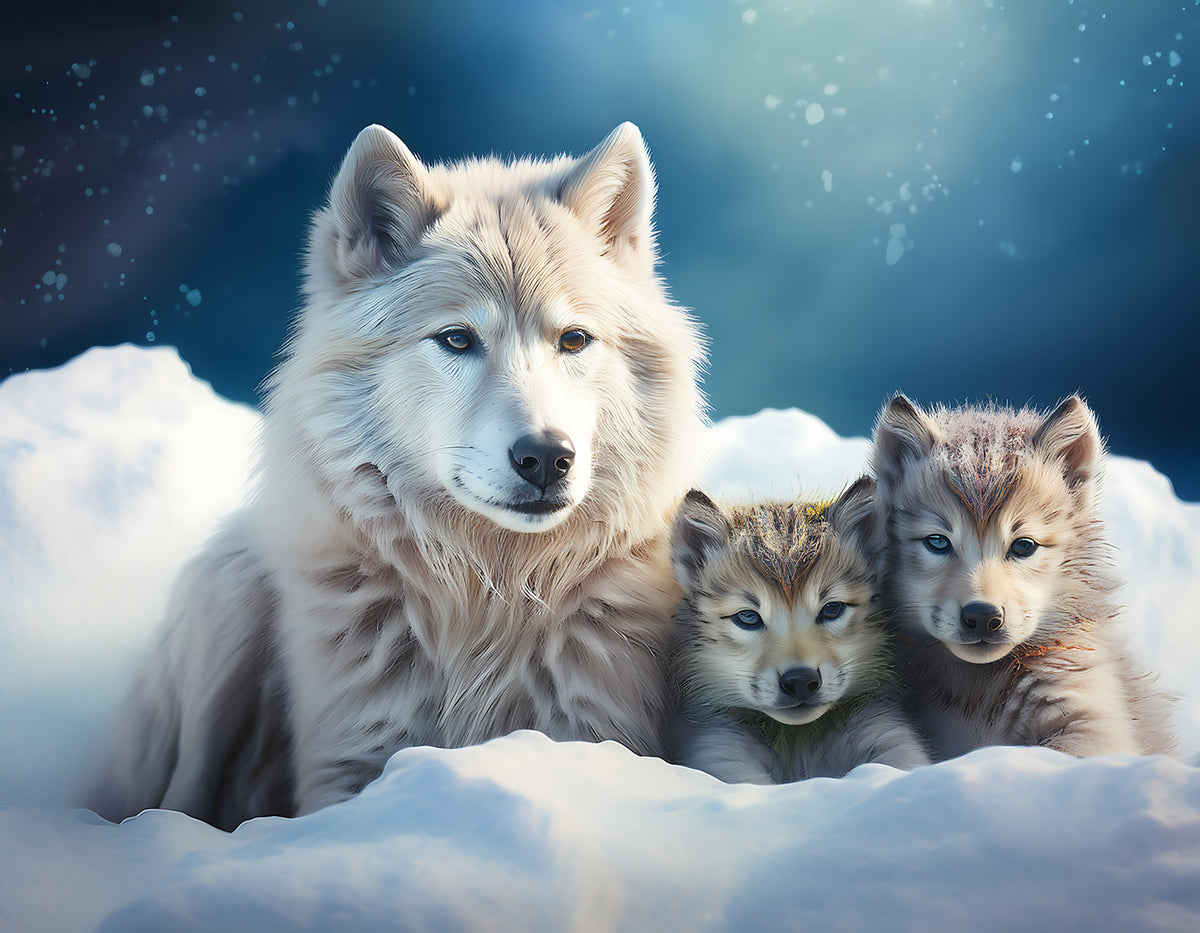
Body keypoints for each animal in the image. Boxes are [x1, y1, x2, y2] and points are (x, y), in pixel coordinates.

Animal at [78, 122, 707, 829]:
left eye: (573, 340)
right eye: (457, 339)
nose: (547, 457)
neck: (486, 600)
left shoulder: (595, 729)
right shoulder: (349, 758)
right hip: (227, 596)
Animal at [668, 481, 929, 784]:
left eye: (832, 609)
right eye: (747, 617)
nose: (801, 681)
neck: (796, 736)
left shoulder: (884, 730)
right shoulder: (720, 749)